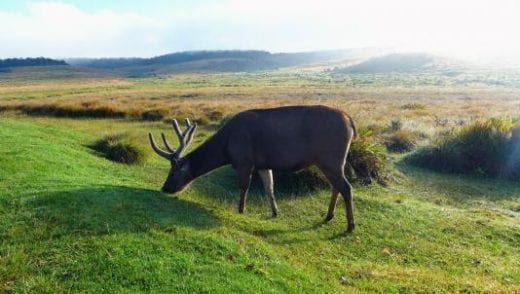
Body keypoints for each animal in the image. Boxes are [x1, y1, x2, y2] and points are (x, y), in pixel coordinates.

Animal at [147, 105, 358, 232]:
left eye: (173, 172)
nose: (165, 187)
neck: (226, 149)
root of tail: (350, 120)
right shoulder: (263, 164)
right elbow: (269, 188)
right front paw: (275, 212)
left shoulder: (244, 160)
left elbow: (244, 187)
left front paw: (241, 210)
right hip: (331, 161)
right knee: (337, 186)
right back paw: (329, 216)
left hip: (330, 158)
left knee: (346, 187)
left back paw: (350, 225)